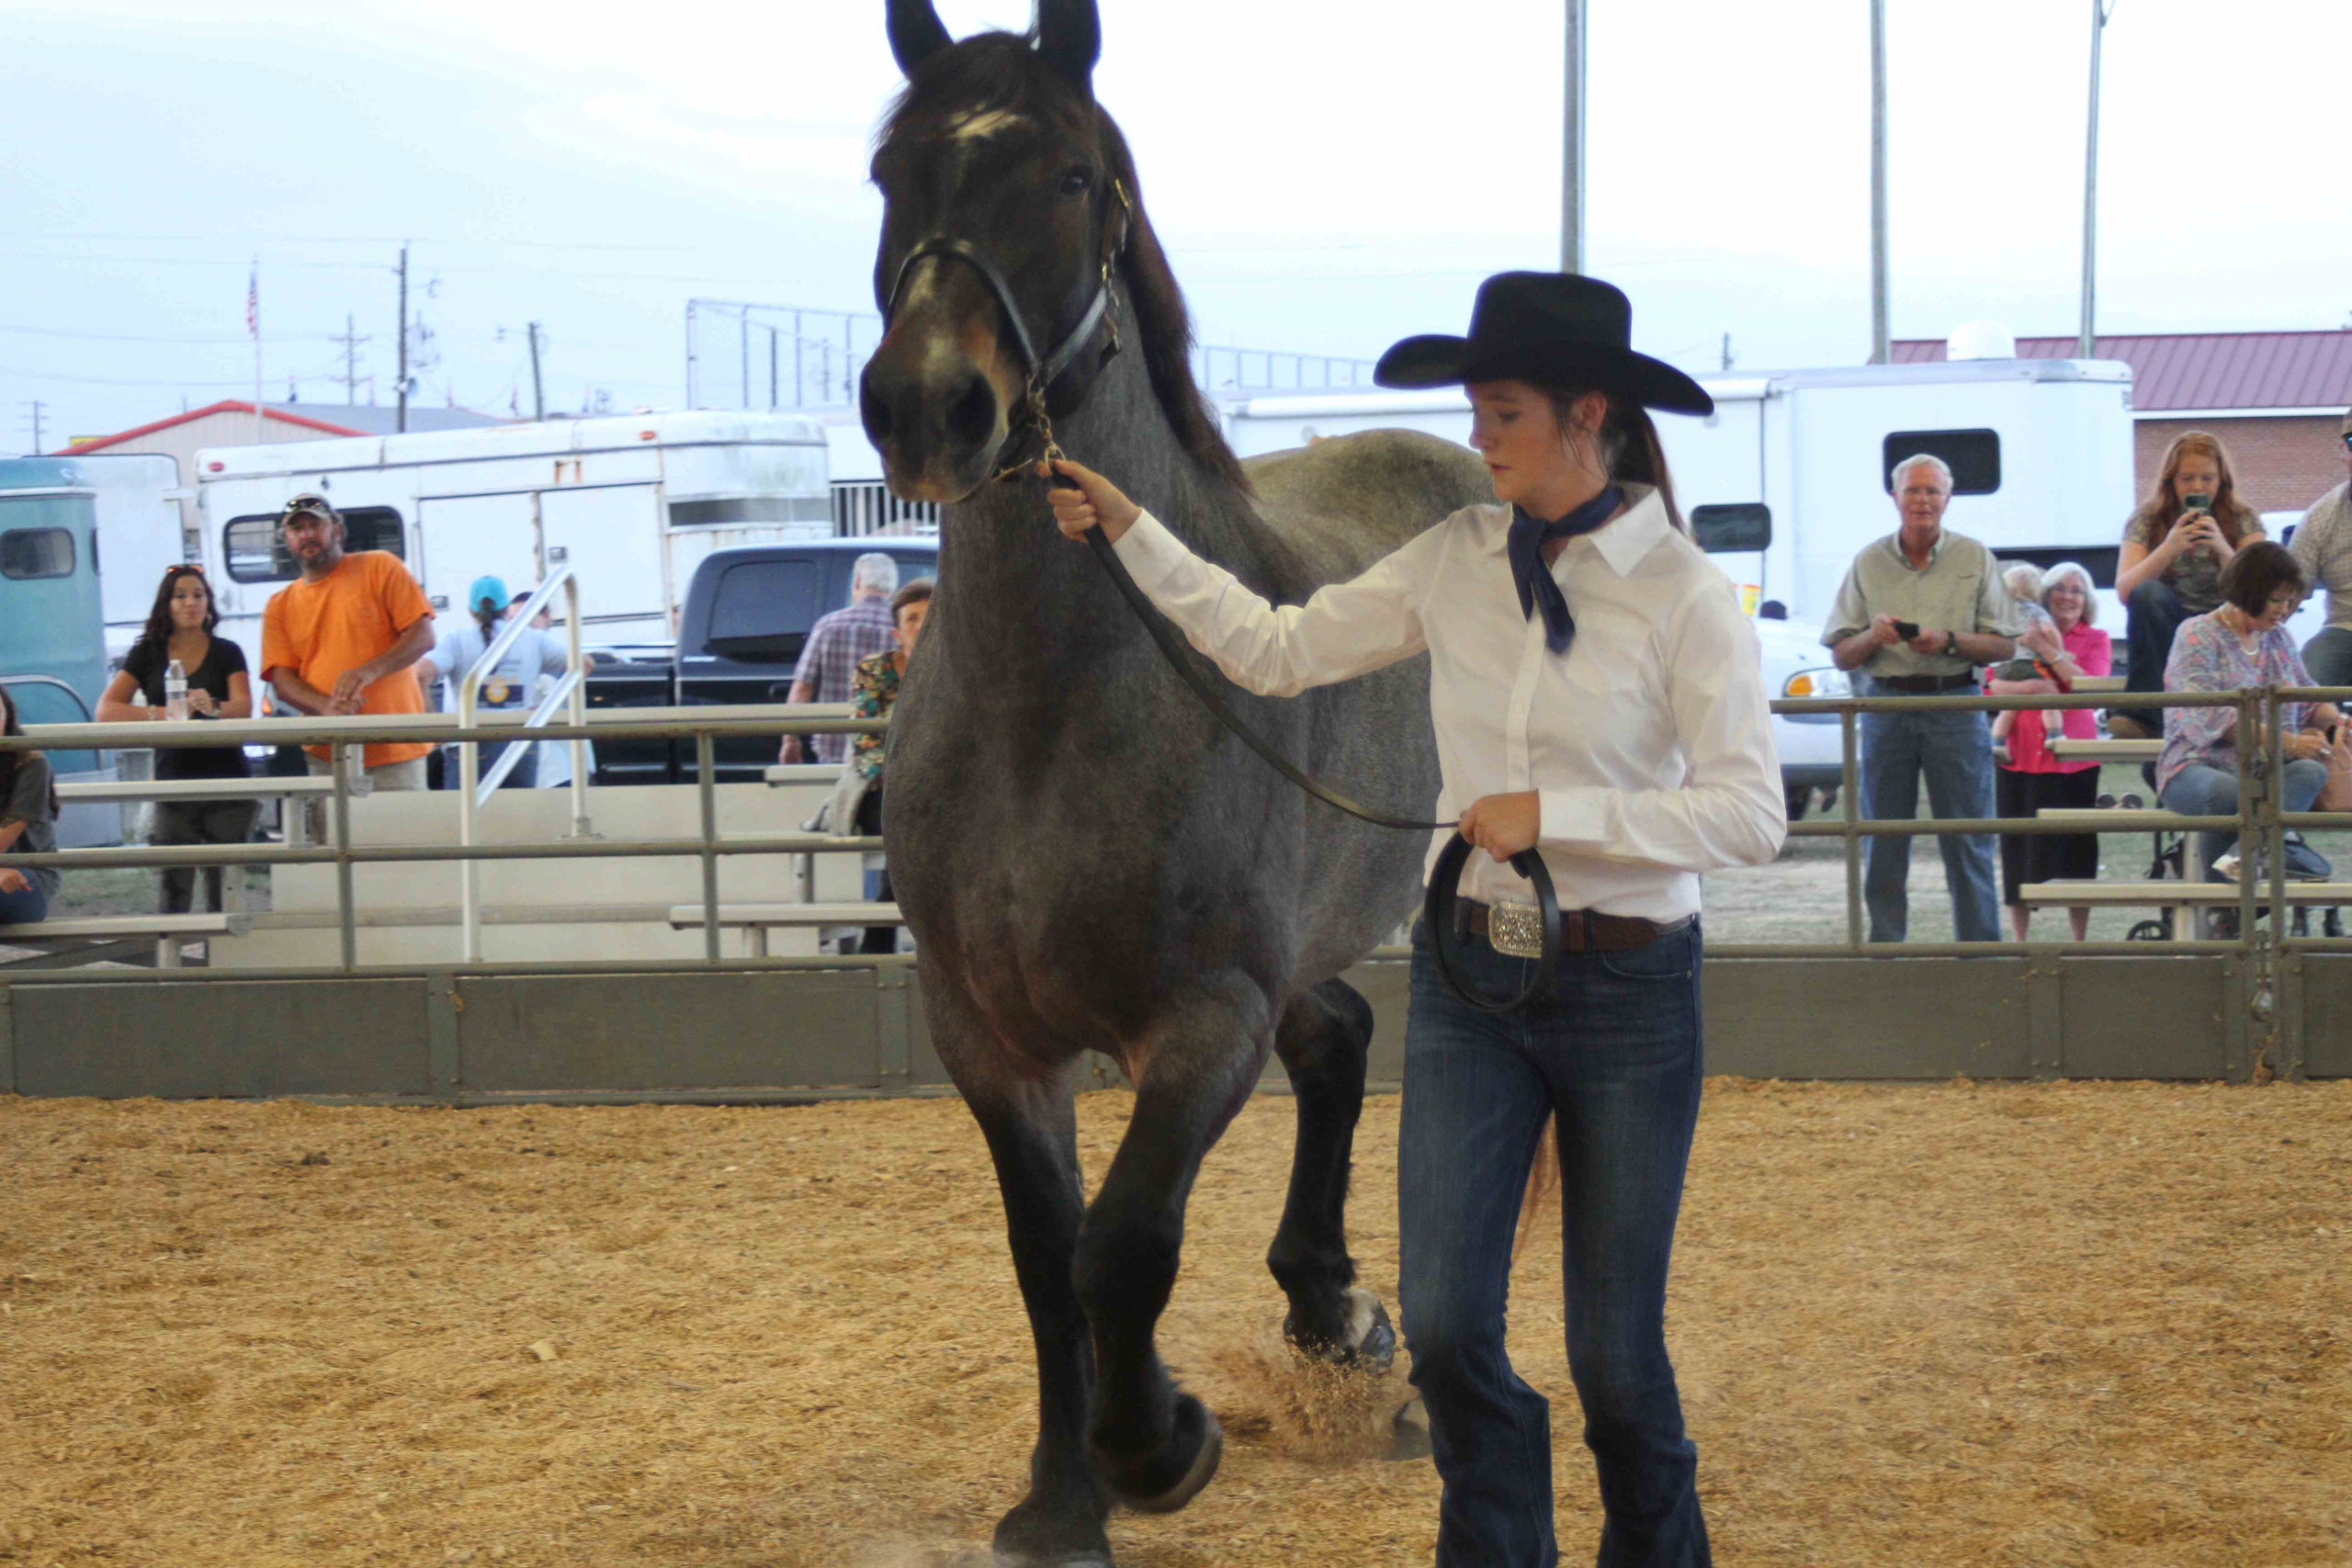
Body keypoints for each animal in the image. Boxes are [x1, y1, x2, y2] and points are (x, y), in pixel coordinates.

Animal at [860, 6, 1486, 1561]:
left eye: (1075, 175)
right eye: (891, 173)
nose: (928, 404)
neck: (1050, 707)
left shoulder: (1202, 1020)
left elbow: (1124, 1243)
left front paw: (1160, 1445)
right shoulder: (989, 1036)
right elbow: (1046, 1254)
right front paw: (1060, 1494)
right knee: (1334, 1036)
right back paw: (1330, 1307)